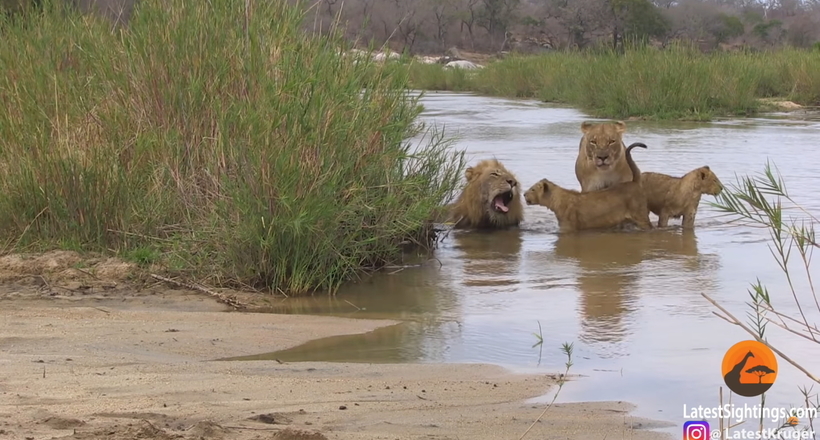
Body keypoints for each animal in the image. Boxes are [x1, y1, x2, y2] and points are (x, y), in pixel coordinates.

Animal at [524, 144, 652, 234]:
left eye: (533, 189)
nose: (524, 194)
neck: (555, 200)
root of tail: (634, 181)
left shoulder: (567, 227)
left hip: (641, 216)